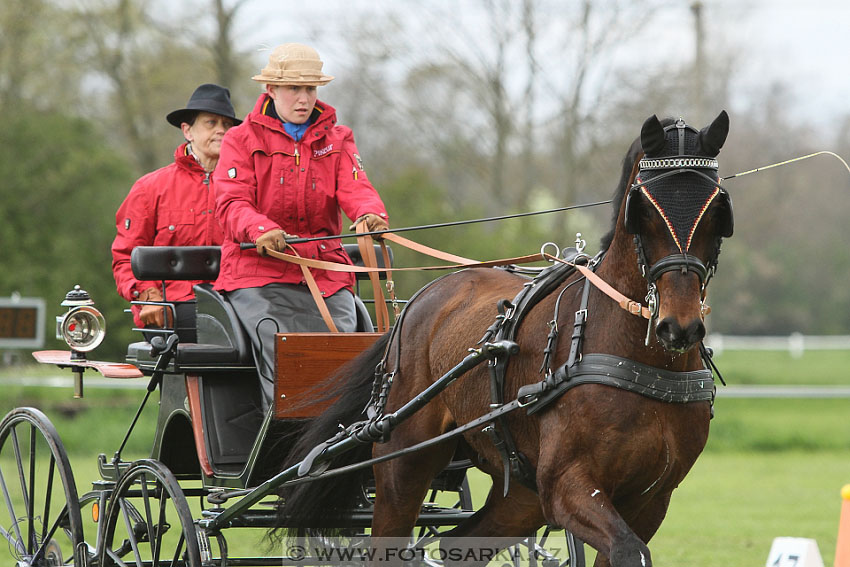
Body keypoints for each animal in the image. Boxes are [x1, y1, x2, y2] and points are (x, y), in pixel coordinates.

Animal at [274, 112, 732, 567]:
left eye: (717, 212)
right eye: (645, 210)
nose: (679, 326)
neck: (637, 359)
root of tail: (419, 300)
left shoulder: (651, 499)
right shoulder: (567, 484)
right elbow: (628, 549)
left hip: (523, 495)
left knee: (458, 545)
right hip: (404, 462)